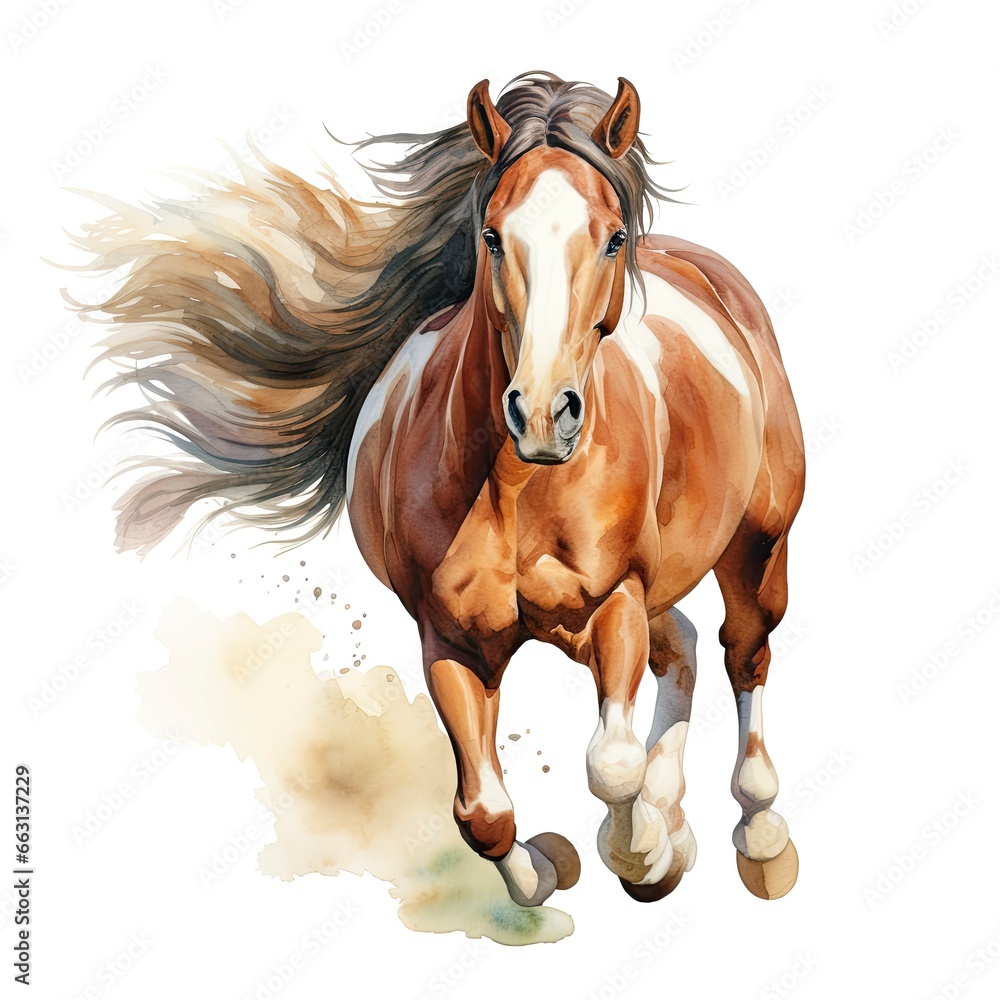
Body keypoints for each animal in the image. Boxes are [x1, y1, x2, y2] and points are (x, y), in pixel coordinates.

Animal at [71, 70, 805, 906]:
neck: (520, 491)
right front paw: (568, 863)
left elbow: (610, 765)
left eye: (613, 237)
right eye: (491, 235)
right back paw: (675, 816)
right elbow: (482, 814)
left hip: (758, 544)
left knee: (742, 652)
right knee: (679, 643)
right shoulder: (449, 641)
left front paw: (644, 854)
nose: (543, 413)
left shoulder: (615, 600)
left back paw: (760, 836)